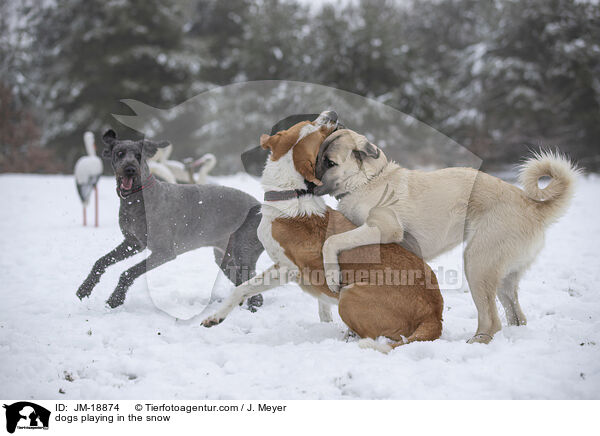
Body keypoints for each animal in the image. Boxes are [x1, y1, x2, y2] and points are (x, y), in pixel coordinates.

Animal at [76, 130, 264, 310]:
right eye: (120, 153)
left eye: (138, 155)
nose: (130, 169)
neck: (137, 198)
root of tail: (262, 206)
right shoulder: (133, 243)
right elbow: (101, 261)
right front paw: (85, 288)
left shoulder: (164, 252)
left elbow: (128, 272)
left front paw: (116, 299)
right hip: (225, 259)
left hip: (242, 252)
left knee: (254, 287)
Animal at [202, 111, 440, 350]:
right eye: (311, 125)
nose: (333, 114)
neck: (291, 194)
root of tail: (434, 316)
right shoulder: (280, 267)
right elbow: (243, 289)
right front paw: (215, 317)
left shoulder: (289, 269)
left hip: (349, 294)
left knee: (377, 337)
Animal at [316, 129, 580, 344]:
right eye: (318, 157)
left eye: (330, 163)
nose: (311, 180)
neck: (367, 180)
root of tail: (531, 205)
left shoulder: (384, 228)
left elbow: (331, 242)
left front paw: (332, 276)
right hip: (503, 277)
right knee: (516, 316)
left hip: (476, 263)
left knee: (492, 320)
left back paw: (476, 341)